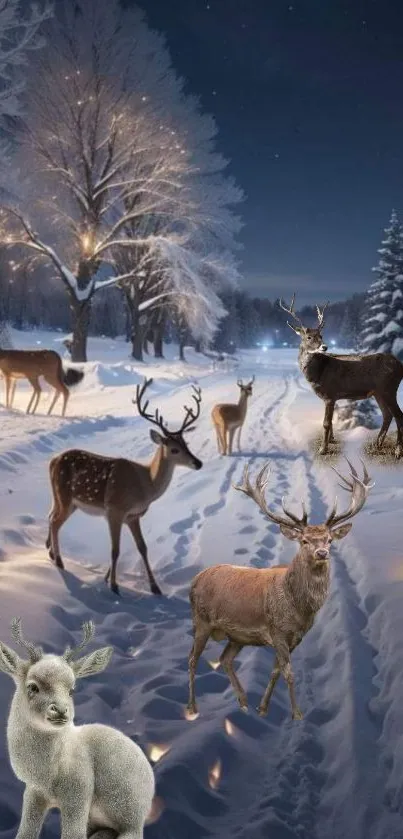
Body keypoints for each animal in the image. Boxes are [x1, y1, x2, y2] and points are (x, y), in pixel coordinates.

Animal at [0, 616, 155, 839]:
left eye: (71, 690)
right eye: (32, 687)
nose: (60, 710)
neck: (49, 773)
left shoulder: (79, 794)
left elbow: (72, 834)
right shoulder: (33, 793)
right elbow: (25, 833)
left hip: (129, 819)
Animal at [47, 378, 204, 600]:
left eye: (186, 444)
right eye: (174, 449)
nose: (198, 463)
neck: (145, 485)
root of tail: (53, 460)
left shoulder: (133, 515)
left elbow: (143, 547)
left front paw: (155, 588)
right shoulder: (114, 509)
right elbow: (115, 549)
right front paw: (114, 586)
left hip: (64, 500)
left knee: (50, 515)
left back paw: (52, 553)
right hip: (65, 496)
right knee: (54, 522)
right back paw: (59, 561)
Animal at [188, 460, 374, 720]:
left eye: (329, 540)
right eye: (304, 540)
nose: (322, 553)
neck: (298, 608)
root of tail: (195, 580)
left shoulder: (296, 637)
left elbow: (276, 670)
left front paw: (263, 708)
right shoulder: (276, 631)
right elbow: (289, 673)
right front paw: (297, 714)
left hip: (236, 636)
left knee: (224, 659)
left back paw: (243, 702)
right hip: (201, 621)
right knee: (192, 659)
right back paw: (192, 707)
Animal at [280, 292, 403, 456]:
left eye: (321, 335)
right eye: (309, 337)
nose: (324, 346)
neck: (317, 373)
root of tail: (400, 365)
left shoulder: (330, 394)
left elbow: (326, 423)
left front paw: (323, 449)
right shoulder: (331, 397)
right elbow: (331, 421)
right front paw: (331, 440)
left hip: (388, 388)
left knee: (399, 415)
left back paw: (397, 451)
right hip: (379, 392)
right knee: (387, 415)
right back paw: (377, 445)